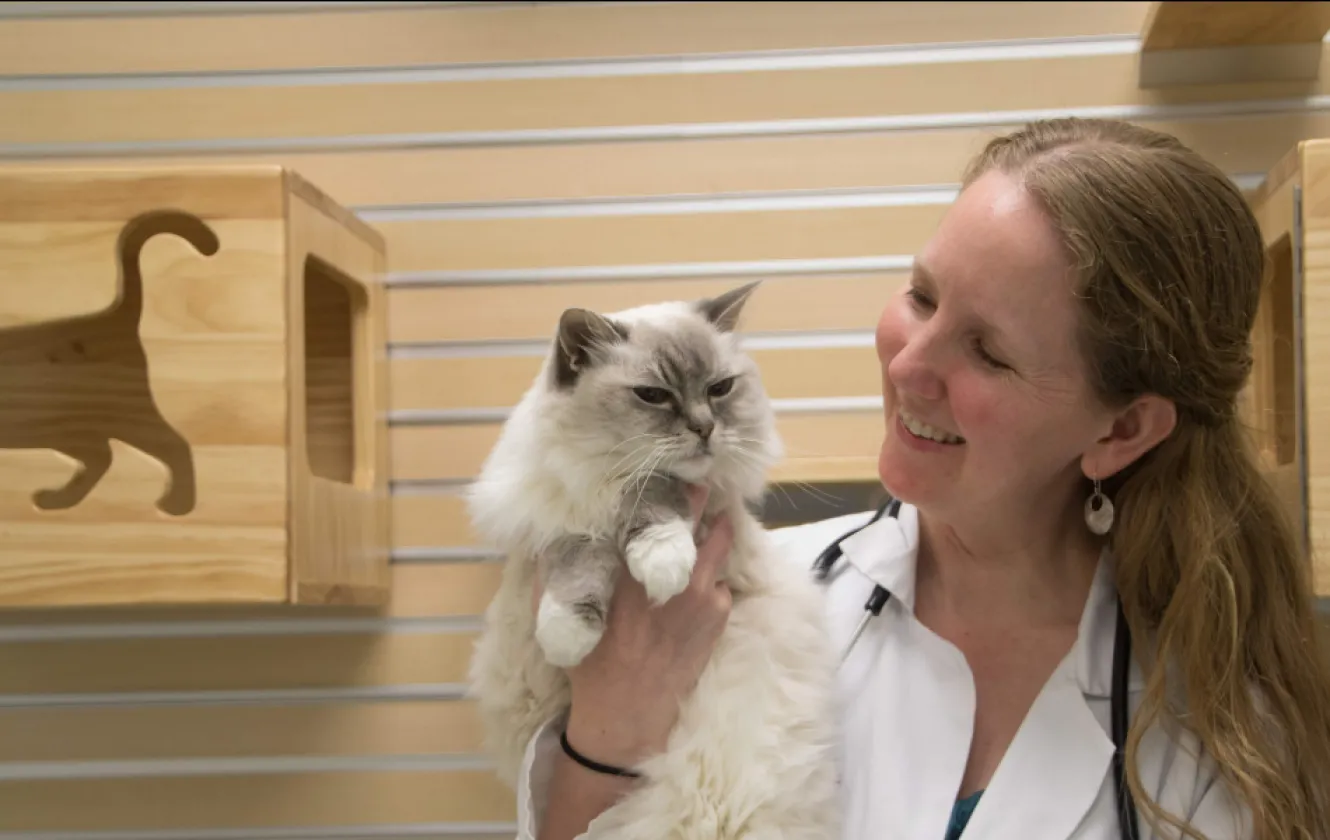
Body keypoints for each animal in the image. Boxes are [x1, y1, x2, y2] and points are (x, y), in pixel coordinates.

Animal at [0, 210, 215, 515]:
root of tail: (119, 318)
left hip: (125, 412)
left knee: (173, 445)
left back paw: (177, 505)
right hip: (68, 428)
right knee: (101, 457)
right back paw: (59, 499)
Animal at [468, 284, 840, 840]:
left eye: (720, 388)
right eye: (653, 395)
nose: (705, 428)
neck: (605, 479)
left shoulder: (697, 502)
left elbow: (656, 496)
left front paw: (662, 563)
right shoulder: (559, 520)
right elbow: (580, 556)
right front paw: (569, 634)